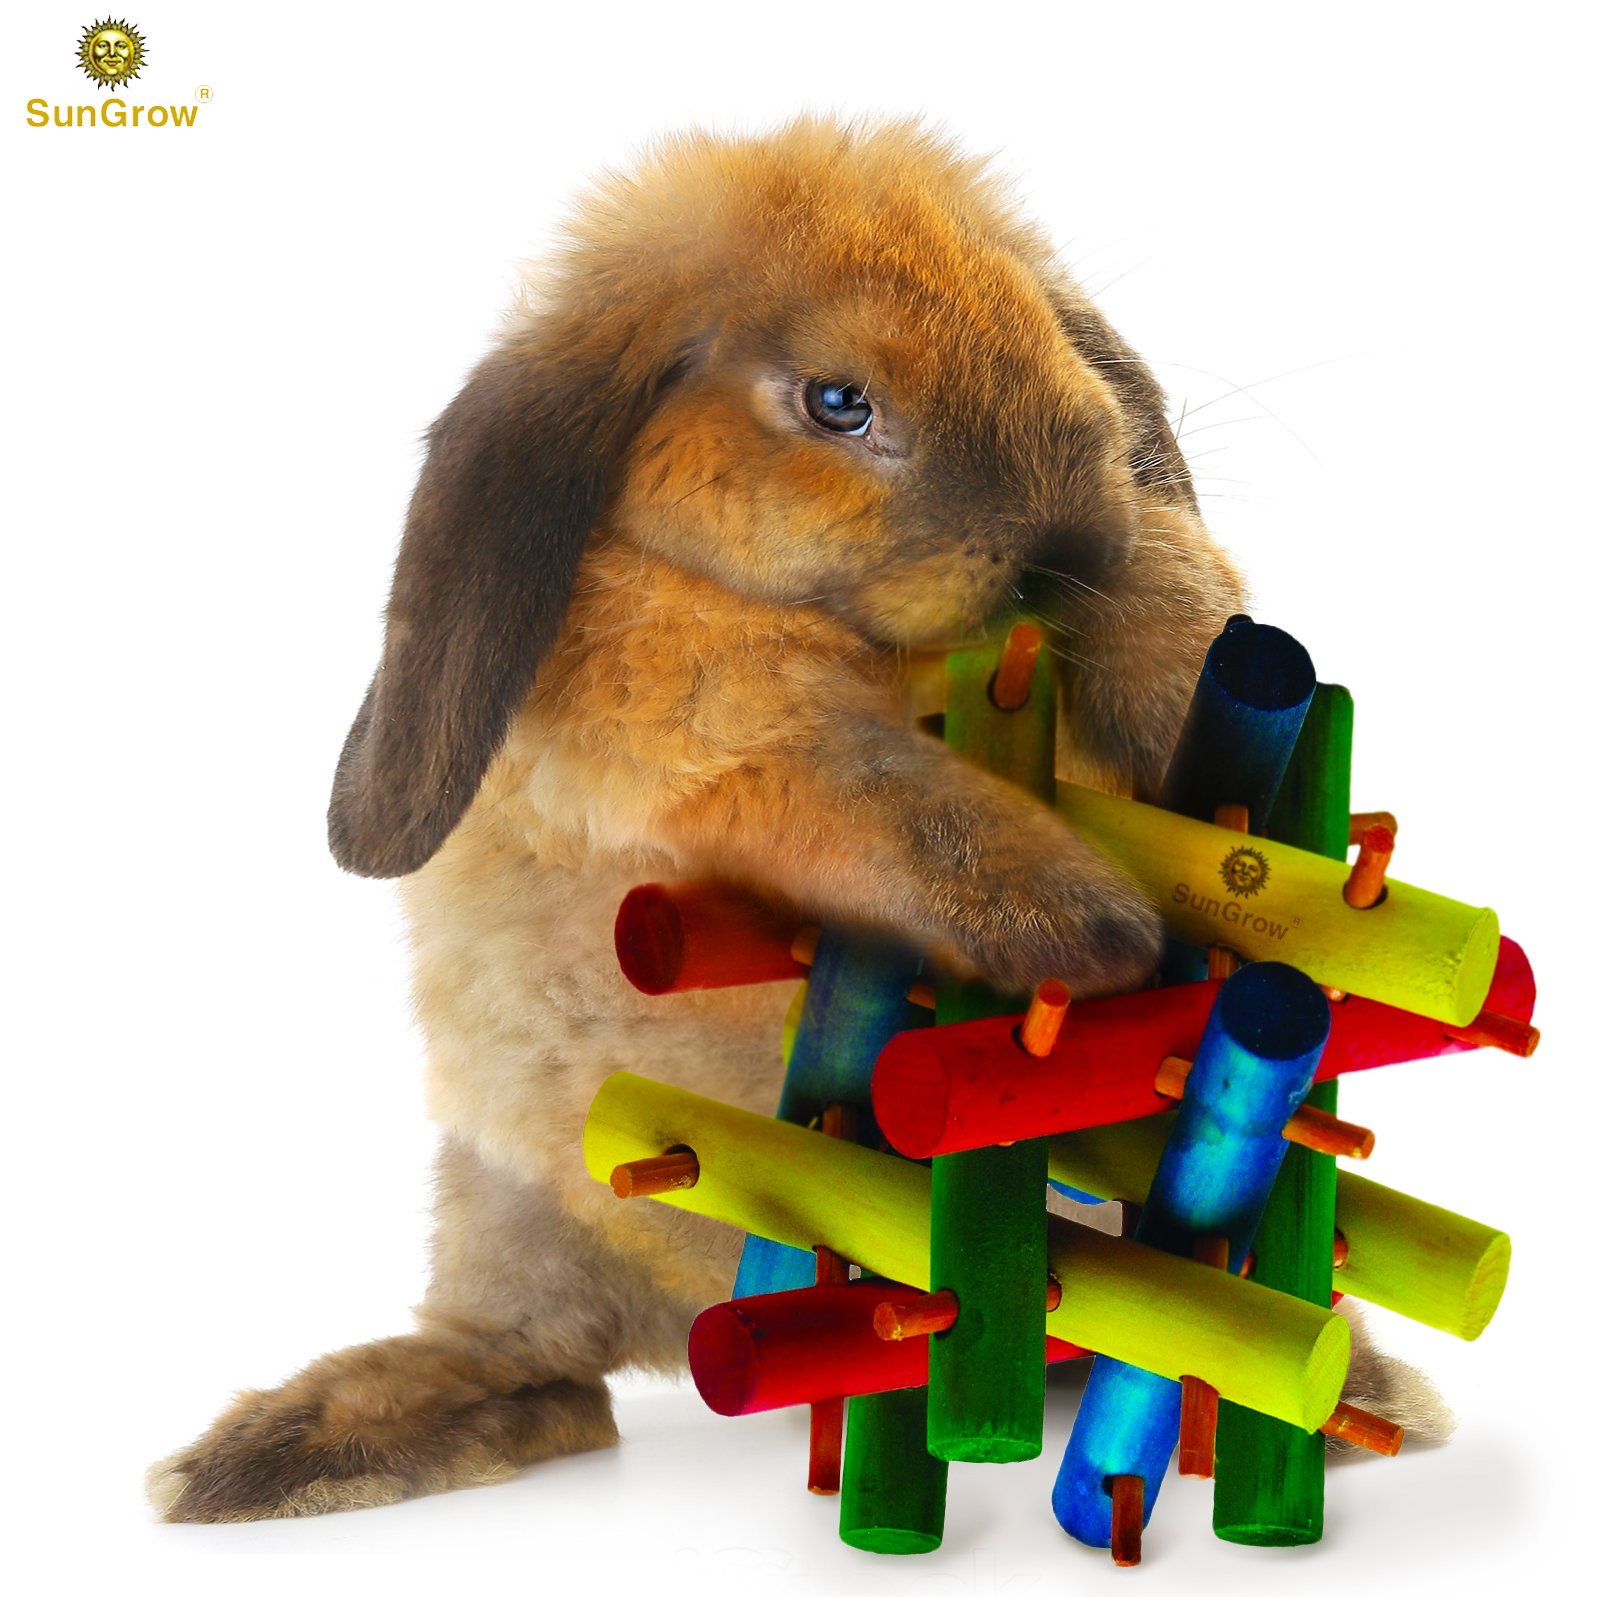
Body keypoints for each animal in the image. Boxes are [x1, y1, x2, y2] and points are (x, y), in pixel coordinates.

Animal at [147, 115, 1437, 1523]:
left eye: (1044, 328)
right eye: (835, 402)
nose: (1066, 550)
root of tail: (699, 1315)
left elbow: (1174, 610)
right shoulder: (712, 741)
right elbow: (870, 791)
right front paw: (1089, 927)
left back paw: (1353, 1399)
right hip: (507, 1207)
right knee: (547, 1376)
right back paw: (292, 1450)